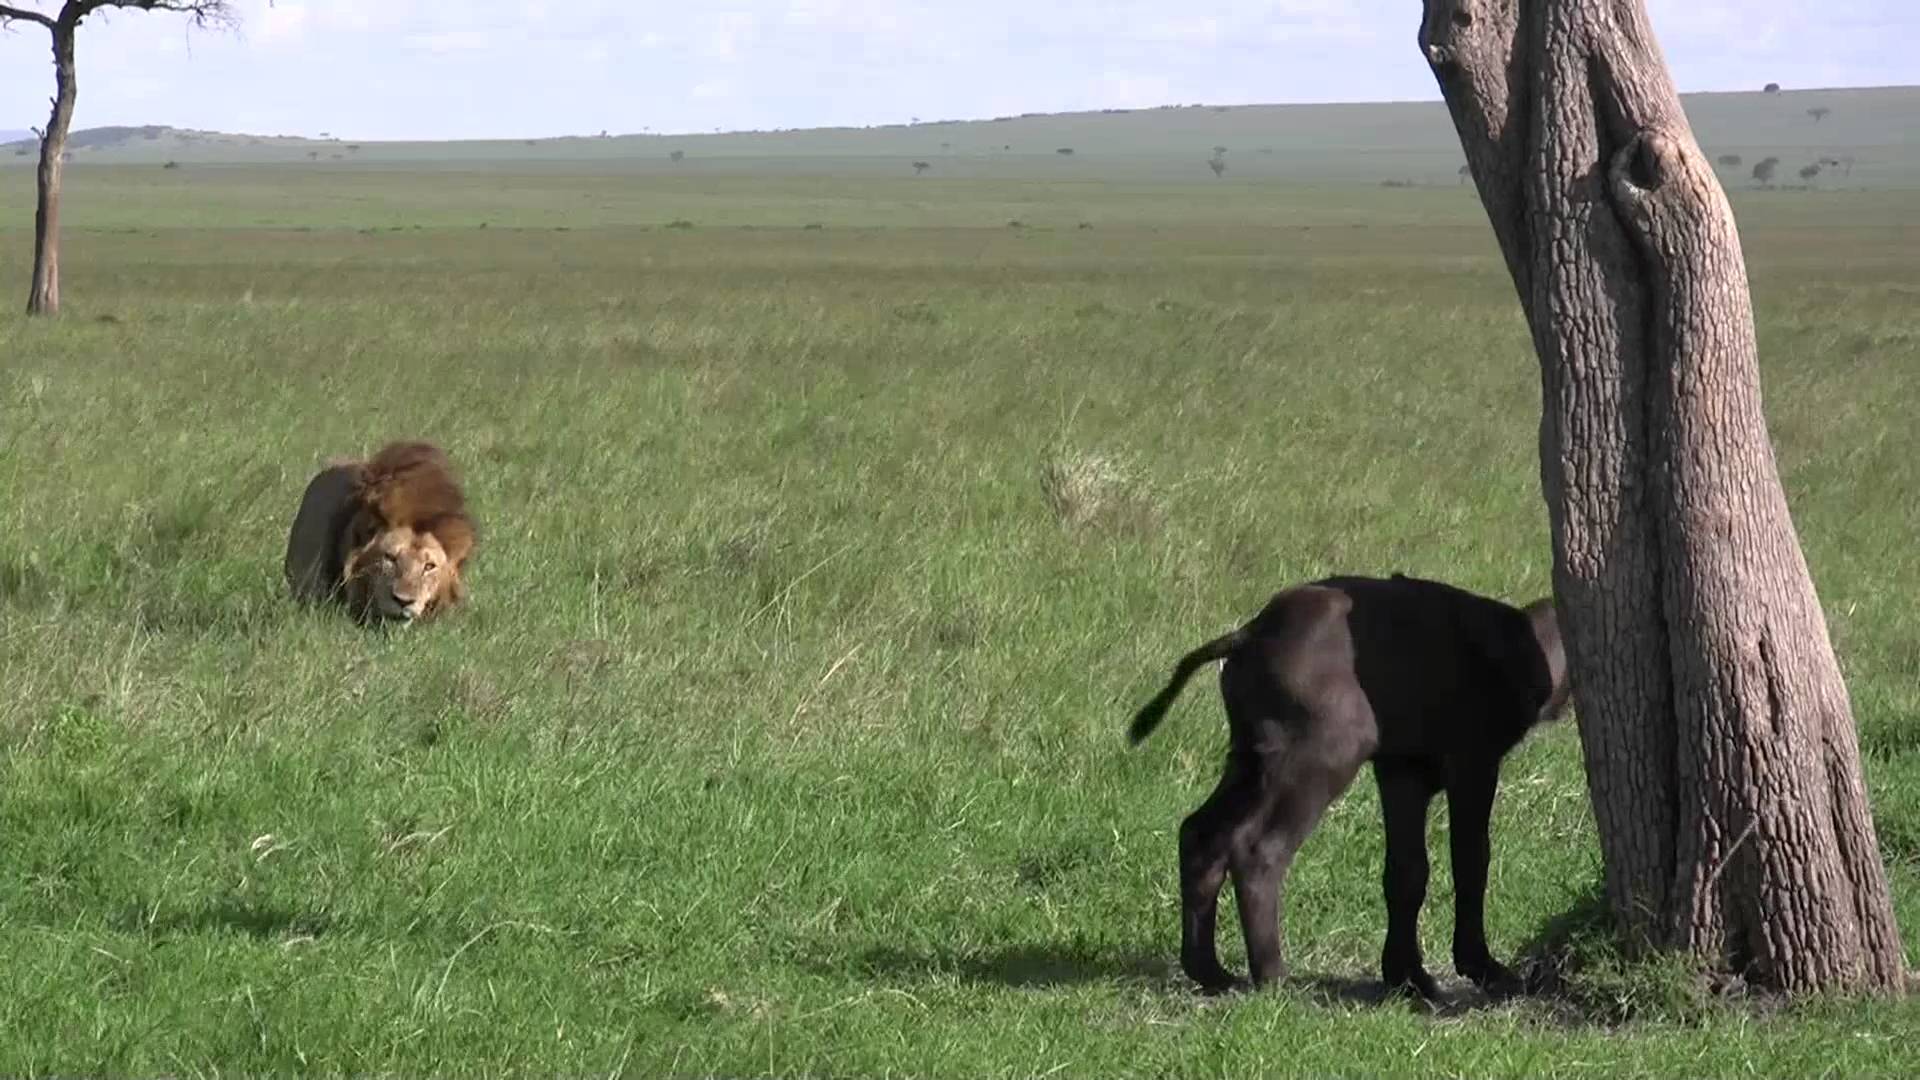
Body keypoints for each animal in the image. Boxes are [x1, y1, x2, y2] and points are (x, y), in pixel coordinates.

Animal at [1128, 572, 1566, 999]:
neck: (1520, 640)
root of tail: (1249, 634)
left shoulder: (1402, 772)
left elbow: (1408, 871)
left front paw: (1408, 978)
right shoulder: (1472, 763)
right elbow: (1472, 862)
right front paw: (1484, 968)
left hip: (1251, 759)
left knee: (1201, 835)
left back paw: (1211, 971)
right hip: (1319, 756)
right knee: (1257, 849)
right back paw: (1273, 976)